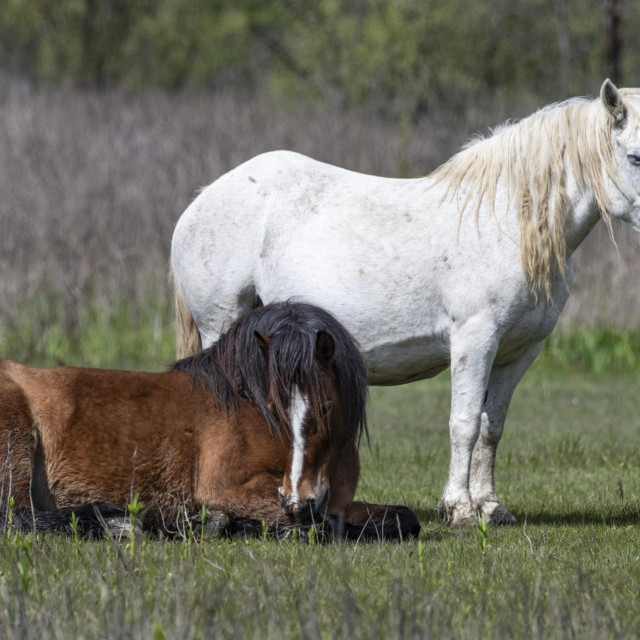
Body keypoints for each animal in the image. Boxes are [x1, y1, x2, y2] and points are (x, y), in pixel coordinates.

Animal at [0, 302, 420, 536]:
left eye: (327, 407)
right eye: (274, 406)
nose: (298, 500)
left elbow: (403, 518)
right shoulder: (227, 490)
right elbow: (316, 527)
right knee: (17, 519)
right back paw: (122, 524)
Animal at [171, 81, 640, 524]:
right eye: (635, 157)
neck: (508, 220)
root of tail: (199, 204)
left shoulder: (519, 351)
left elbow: (491, 427)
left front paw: (490, 507)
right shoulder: (475, 339)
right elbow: (464, 425)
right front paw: (459, 509)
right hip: (222, 325)